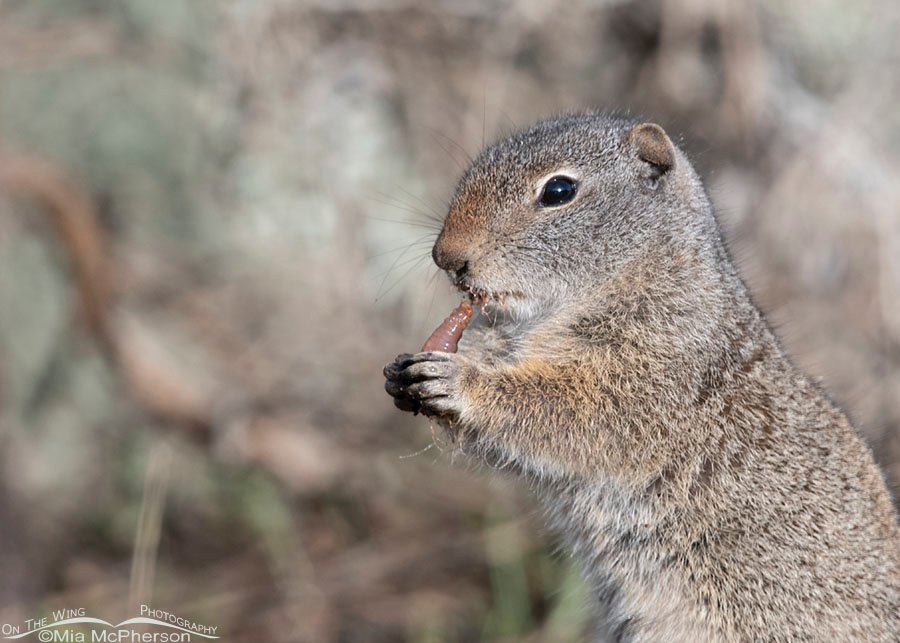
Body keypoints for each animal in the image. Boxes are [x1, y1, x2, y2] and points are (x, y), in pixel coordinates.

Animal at [383, 113, 900, 642]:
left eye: (559, 190)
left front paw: (459, 381)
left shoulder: (653, 370)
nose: (446, 256)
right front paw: (404, 370)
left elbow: (567, 411)